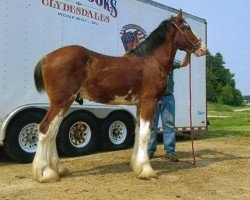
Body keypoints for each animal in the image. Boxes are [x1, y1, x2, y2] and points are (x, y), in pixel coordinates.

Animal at [32, 10, 206, 183]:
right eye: (187, 27)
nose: (202, 48)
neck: (151, 61)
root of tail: (45, 58)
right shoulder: (149, 102)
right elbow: (145, 134)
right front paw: (146, 170)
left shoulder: (139, 104)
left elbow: (138, 132)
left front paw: (136, 165)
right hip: (61, 102)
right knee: (45, 129)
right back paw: (45, 173)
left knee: (53, 132)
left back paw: (57, 169)